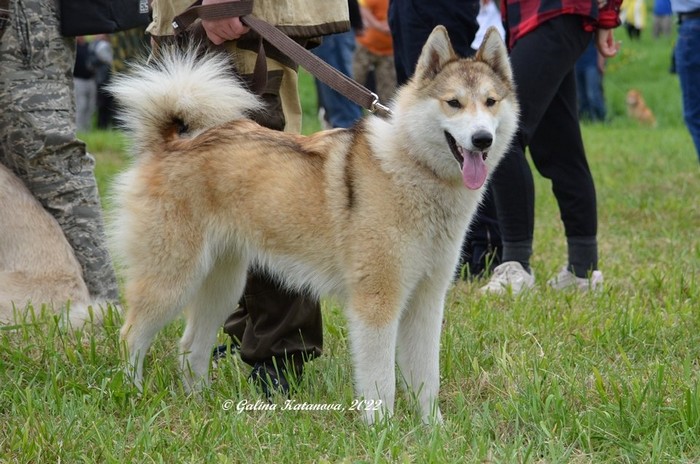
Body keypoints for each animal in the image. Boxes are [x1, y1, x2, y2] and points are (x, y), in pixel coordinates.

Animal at [109, 26, 519, 424]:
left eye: (490, 102)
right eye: (453, 103)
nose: (482, 139)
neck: (413, 167)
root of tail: (169, 144)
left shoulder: (427, 300)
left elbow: (426, 379)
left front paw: (433, 430)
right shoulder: (377, 302)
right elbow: (381, 382)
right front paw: (382, 431)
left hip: (222, 285)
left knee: (191, 346)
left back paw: (202, 404)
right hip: (173, 280)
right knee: (131, 336)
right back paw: (134, 395)